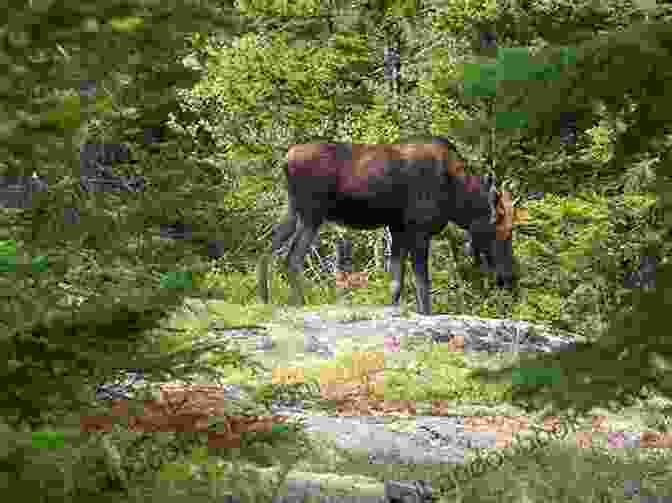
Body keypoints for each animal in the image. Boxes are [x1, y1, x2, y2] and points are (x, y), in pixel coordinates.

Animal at [258, 138, 524, 316]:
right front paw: (425, 313)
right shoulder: (418, 230)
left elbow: (396, 281)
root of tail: (286, 160)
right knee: (292, 257)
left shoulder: (398, 228)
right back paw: (301, 302)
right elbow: (422, 282)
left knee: (268, 249)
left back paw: (265, 298)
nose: (511, 277)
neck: (456, 198)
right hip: (312, 214)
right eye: (500, 233)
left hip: (294, 210)